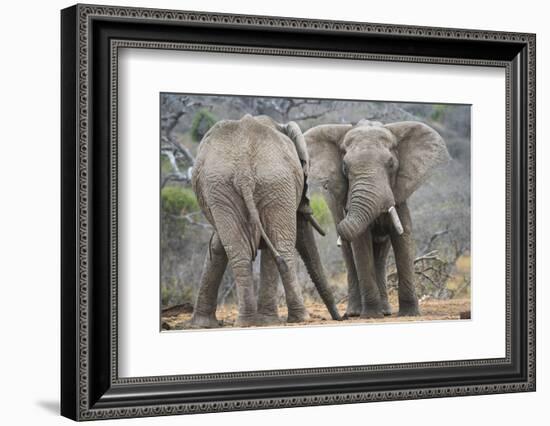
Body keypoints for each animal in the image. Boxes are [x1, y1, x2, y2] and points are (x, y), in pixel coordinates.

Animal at [192, 115, 342, 328]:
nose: (341, 317)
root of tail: (243, 172)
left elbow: (218, 245)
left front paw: (202, 324)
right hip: (267, 183)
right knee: (280, 247)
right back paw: (296, 318)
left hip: (238, 187)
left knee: (243, 252)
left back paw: (249, 322)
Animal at [304, 118, 450, 318]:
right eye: (344, 167)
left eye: (391, 164)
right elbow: (360, 244)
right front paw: (372, 315)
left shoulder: (399, 194)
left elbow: (403, 237)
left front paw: (410, 314)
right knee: (349, 254)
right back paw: (355, 313)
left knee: (381, 254)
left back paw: (386, 311)